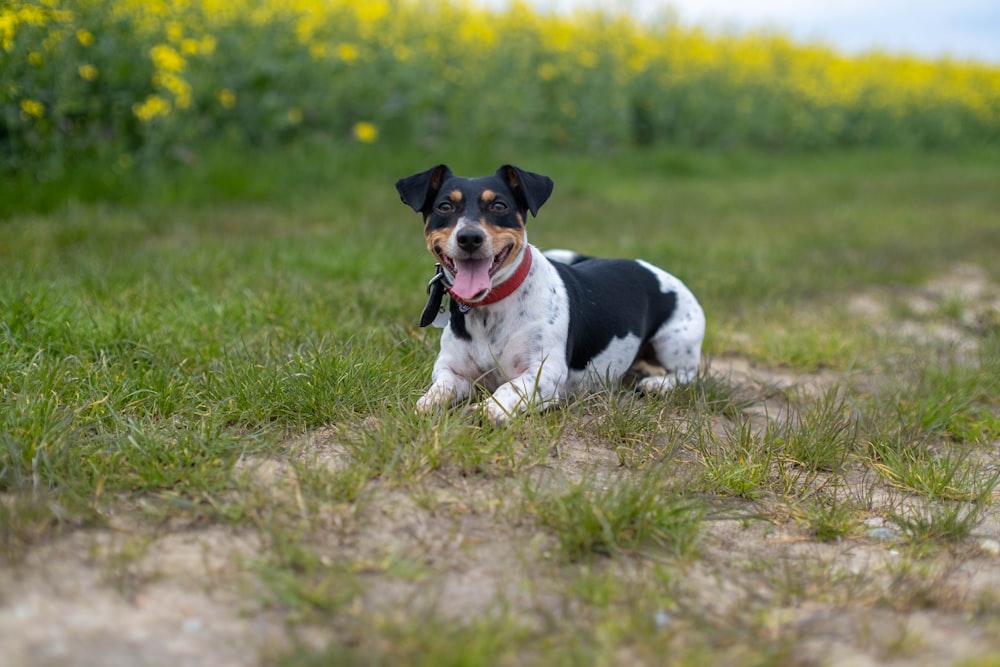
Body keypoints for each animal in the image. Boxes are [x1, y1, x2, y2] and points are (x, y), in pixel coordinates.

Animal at [394, 163, 708, 422]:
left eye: (499, 205)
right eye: (445, 206)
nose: (469, 237)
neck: (491, 307)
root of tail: (651, 267)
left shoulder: (543, 373)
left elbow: (510, 387)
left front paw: (490, 409)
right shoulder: (451, 369)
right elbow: (440, 388)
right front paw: (427, 403)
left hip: (673, 342)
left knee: (688, 375)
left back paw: (658, 384)